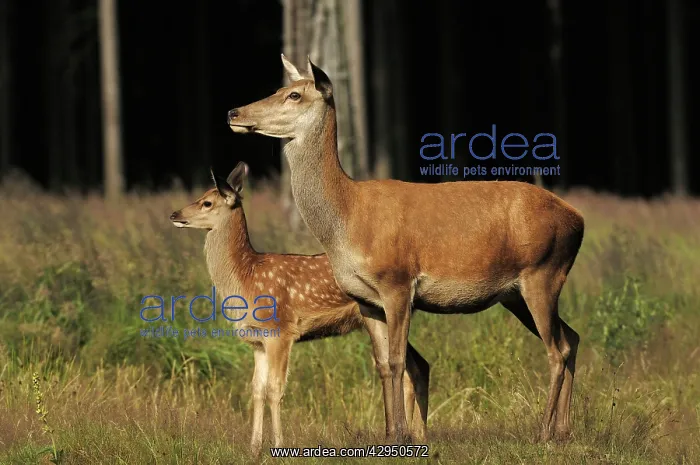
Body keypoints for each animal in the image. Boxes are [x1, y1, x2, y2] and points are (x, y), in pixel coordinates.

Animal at [169, 161, 430, 456]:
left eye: (207, 202)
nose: (175, 214)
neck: (246, 277)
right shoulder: (257, 341)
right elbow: (256, 389)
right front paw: (254, 448)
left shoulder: (281, 331)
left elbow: (274, 388)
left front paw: (278, 445)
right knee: (418, 366)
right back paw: (417, 436)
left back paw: (413, 436)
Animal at [226, 55, 585, 444]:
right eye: (279, 87)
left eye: (294, 94)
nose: (233, 111)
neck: (346, 218)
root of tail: (578, 220)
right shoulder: (365, 298)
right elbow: (382, 365)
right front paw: (389, 434)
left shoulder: (397, 281)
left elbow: (398, 361)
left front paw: (400, 435)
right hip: (516, 293)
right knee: (573, 337)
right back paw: (564, 429)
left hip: (543, 272)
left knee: (557, 350)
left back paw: (544, 432)